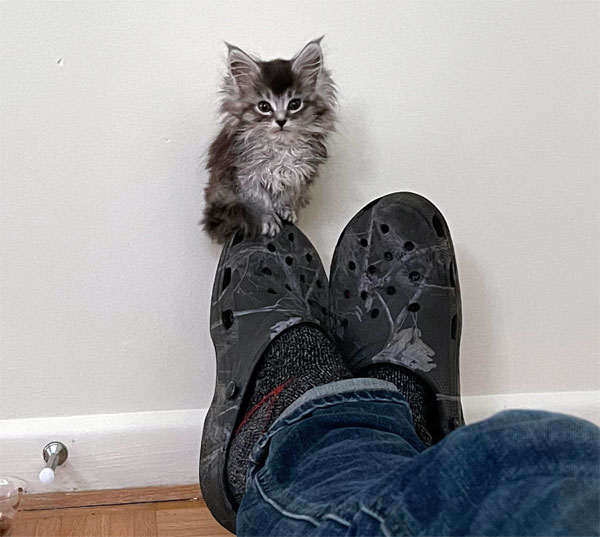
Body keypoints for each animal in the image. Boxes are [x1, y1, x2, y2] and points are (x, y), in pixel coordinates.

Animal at [203, 38, 338, 244]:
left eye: (294, 104)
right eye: (264, 107)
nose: (281, 121)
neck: (281, 148)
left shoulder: (299, 174)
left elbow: (288, 195)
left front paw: (286, 210)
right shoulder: (245, 175)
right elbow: (259, 201)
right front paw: (268, 219)